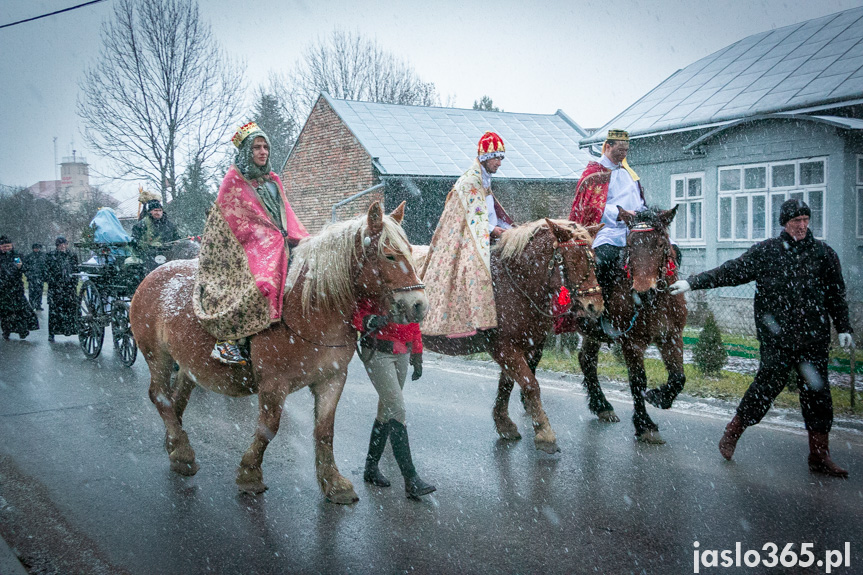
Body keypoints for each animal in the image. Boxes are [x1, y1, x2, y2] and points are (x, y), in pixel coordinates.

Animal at [130, 202, 426, 504]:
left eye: (410, 252)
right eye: (389, 255)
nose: (418, 305)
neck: (309, 311)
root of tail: (153, 275)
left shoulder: (332, 379)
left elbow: (325, 430)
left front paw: (334, 484)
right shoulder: (273, 384)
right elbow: (269, 428)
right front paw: (250, 474)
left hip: (187, 364)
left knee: (177, 399)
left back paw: (174, 445)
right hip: (157, 356)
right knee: (160, 396)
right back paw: (183, 452)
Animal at [424, 220, 604, 454]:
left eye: (593, 259)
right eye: (572, 260)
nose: (595, 306)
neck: (513, 286)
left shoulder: (520, 347)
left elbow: (507, 384)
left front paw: (504, 424)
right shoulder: (503, 348)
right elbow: (531, 385)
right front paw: (545, 433)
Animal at [572, 207, 688, 446]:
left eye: (660, 244)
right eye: (631, 244)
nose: (643, 293)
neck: (656, 303)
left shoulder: (671, 336)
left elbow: (678, 377)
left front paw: (659, 397)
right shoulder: (632, 343)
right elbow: (637, 380)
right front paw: (645, 425)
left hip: (591, 333)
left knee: (587, 360)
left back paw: (602, 406)